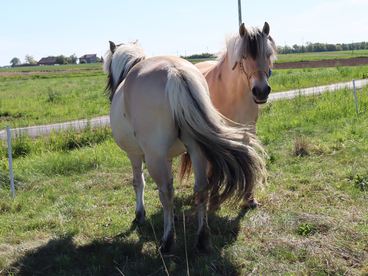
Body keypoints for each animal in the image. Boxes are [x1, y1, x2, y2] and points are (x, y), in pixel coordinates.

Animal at [102, 40, 266, 252]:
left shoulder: (134, 154)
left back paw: (167, 241)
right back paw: (202, 238)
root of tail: (174, 71)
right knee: (201, 188)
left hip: (155, 157)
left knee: (166, 193)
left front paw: (140, 215)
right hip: (197, 150)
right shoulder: (168, 157)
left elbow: (139, 183)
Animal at [181, 22, 276, 207]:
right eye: (243, 56)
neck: (232, 94)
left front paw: (250, 198)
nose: (261, 91)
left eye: (268, 54)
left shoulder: (248, 131)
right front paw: (214, 197)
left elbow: (248, 156)